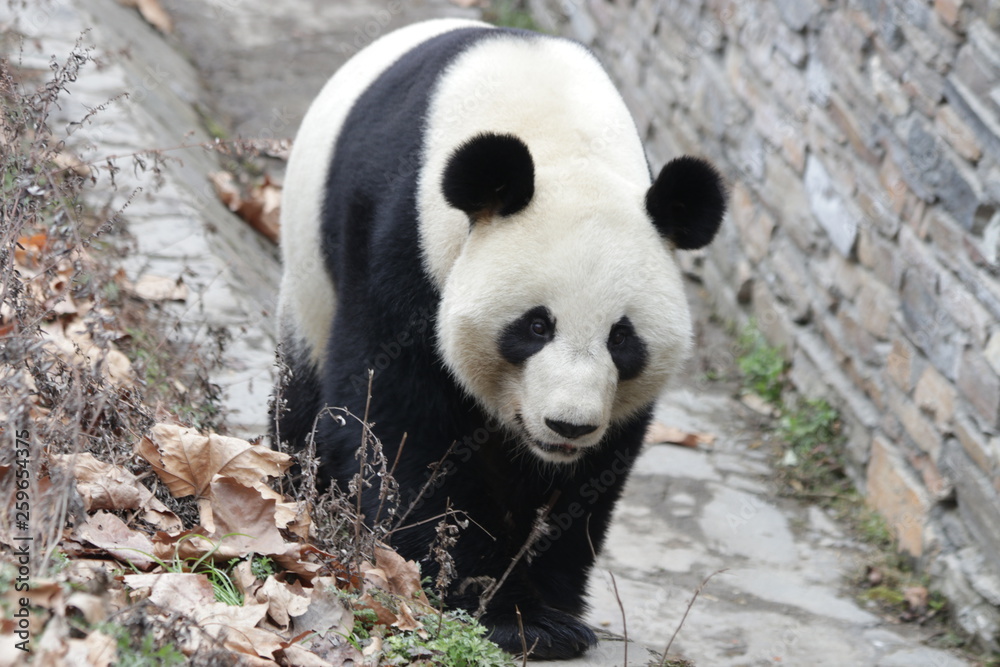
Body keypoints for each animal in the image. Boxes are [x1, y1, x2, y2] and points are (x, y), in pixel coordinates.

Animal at [274, 18, 726, 660]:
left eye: (621, 338)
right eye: (536, 326)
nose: (568, 425)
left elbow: (589, 479)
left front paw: (549, 609)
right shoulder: (405, 242)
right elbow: (397, 423)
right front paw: (500, 609)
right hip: (310, 270)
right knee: (305, 390)